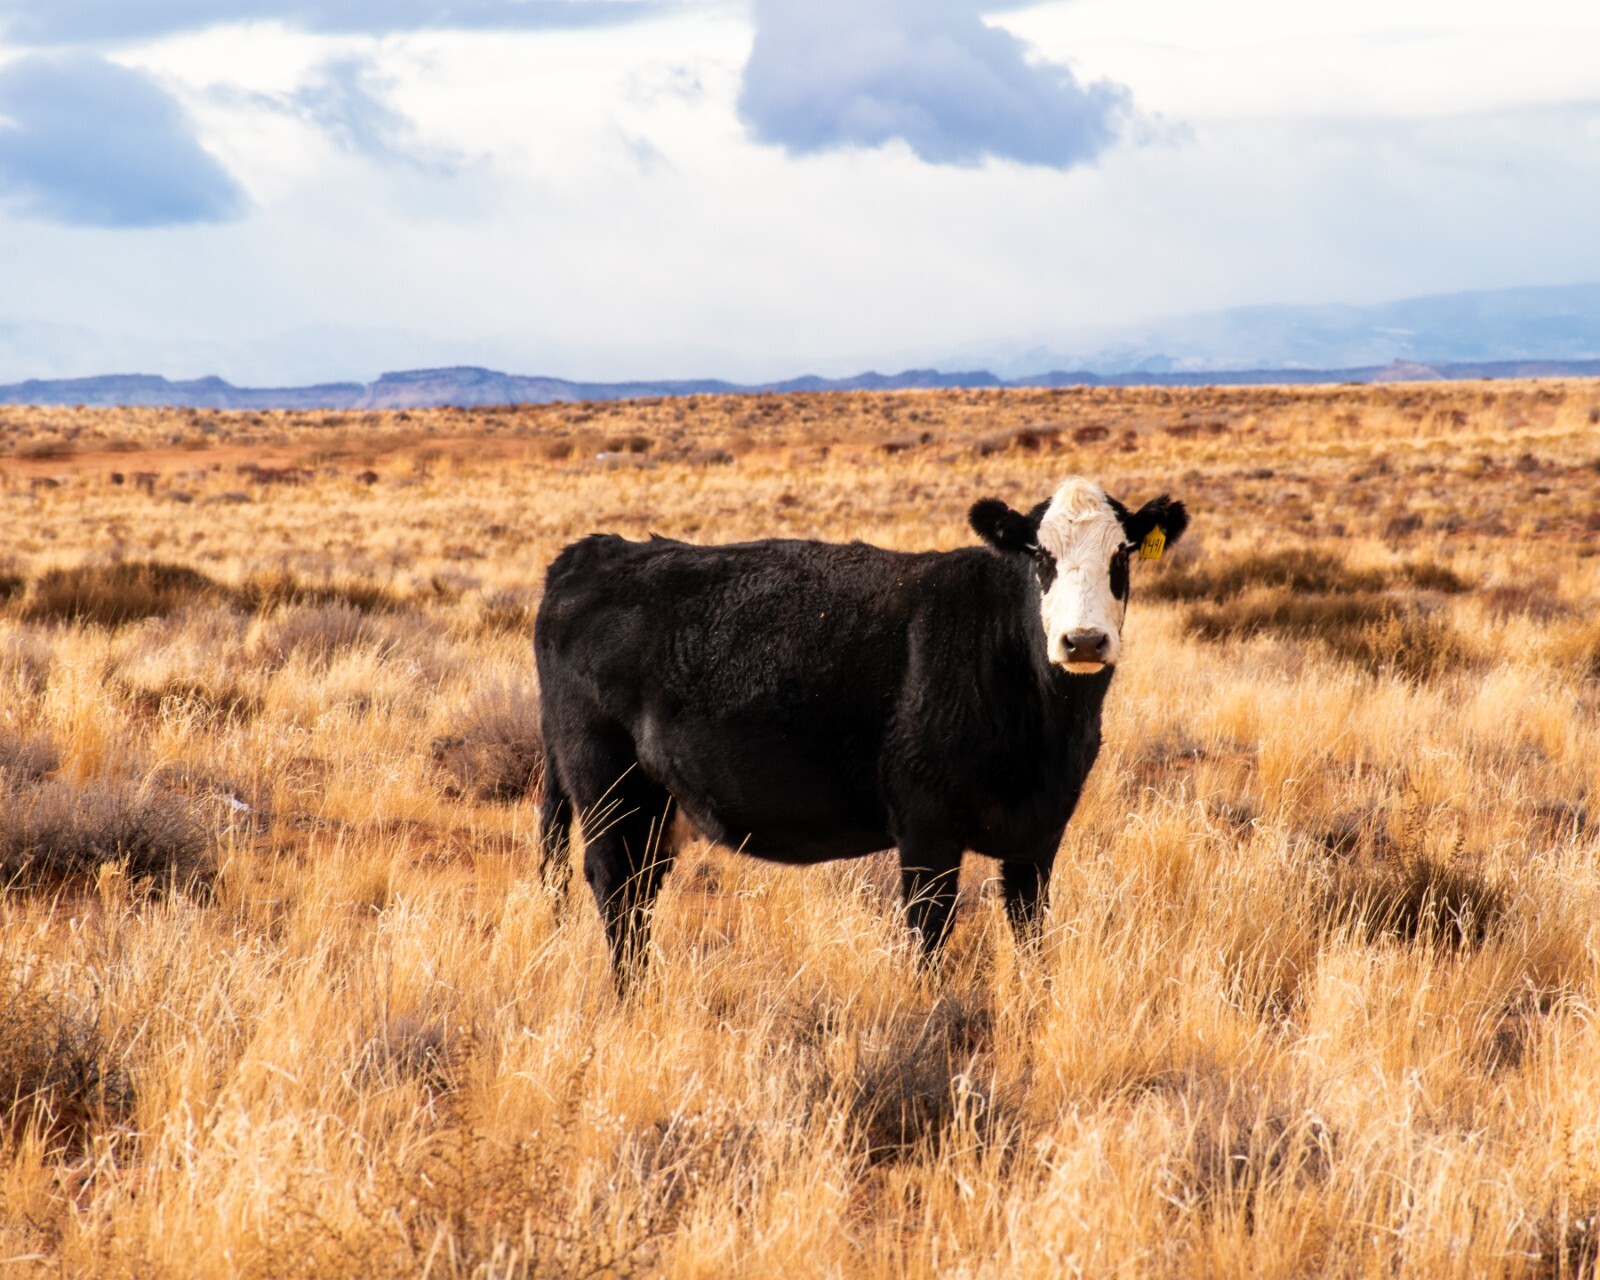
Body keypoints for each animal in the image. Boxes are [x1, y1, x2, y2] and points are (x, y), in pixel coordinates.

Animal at [533, 476, 1189, 986]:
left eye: (1121, 556)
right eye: (1040, 557)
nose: (1084, 641)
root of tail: (591, 553)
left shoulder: (1040, 833)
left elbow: (1030, 933)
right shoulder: (926, 825)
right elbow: (929, 935)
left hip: (656, 804)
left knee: (640, 893)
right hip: (607, 785)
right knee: (616, 890)